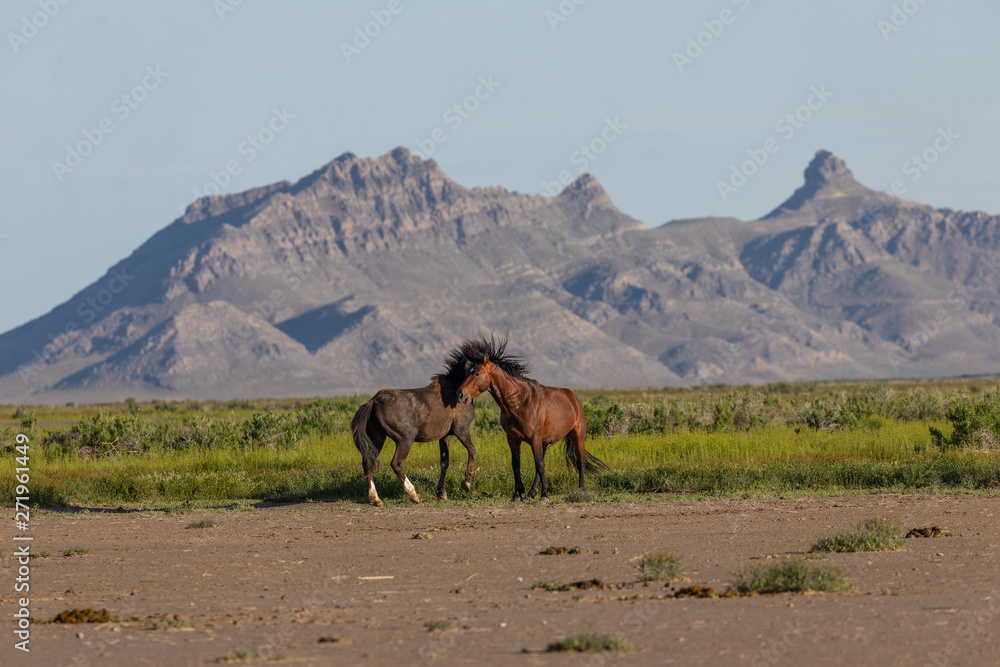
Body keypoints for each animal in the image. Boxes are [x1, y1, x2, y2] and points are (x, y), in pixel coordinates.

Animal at [352, 350, 476, 506]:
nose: (463, 396)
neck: (454, 389)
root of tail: (374, 401)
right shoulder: (462, 430)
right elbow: (472, 450)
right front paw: (466, 484)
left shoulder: (445, 435)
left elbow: (444, 461)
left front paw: (442, 493)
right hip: (405, 439)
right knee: (396, 463)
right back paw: (413, 495)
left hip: (377, 439)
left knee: (368, 462)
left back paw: (376, 499)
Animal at [456, 334, 608, 500]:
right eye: (466, 372)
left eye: (477, 373)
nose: (460, 394)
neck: (519, 402)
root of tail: (573, 397)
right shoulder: (513, 439)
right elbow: (517, 465)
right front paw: (518, 494)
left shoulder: (534, 438)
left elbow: (539, 465)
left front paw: (545, 494)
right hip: (545, 443)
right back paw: (531, 492)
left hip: (577, 436)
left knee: (580, 461)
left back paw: (581, 489)